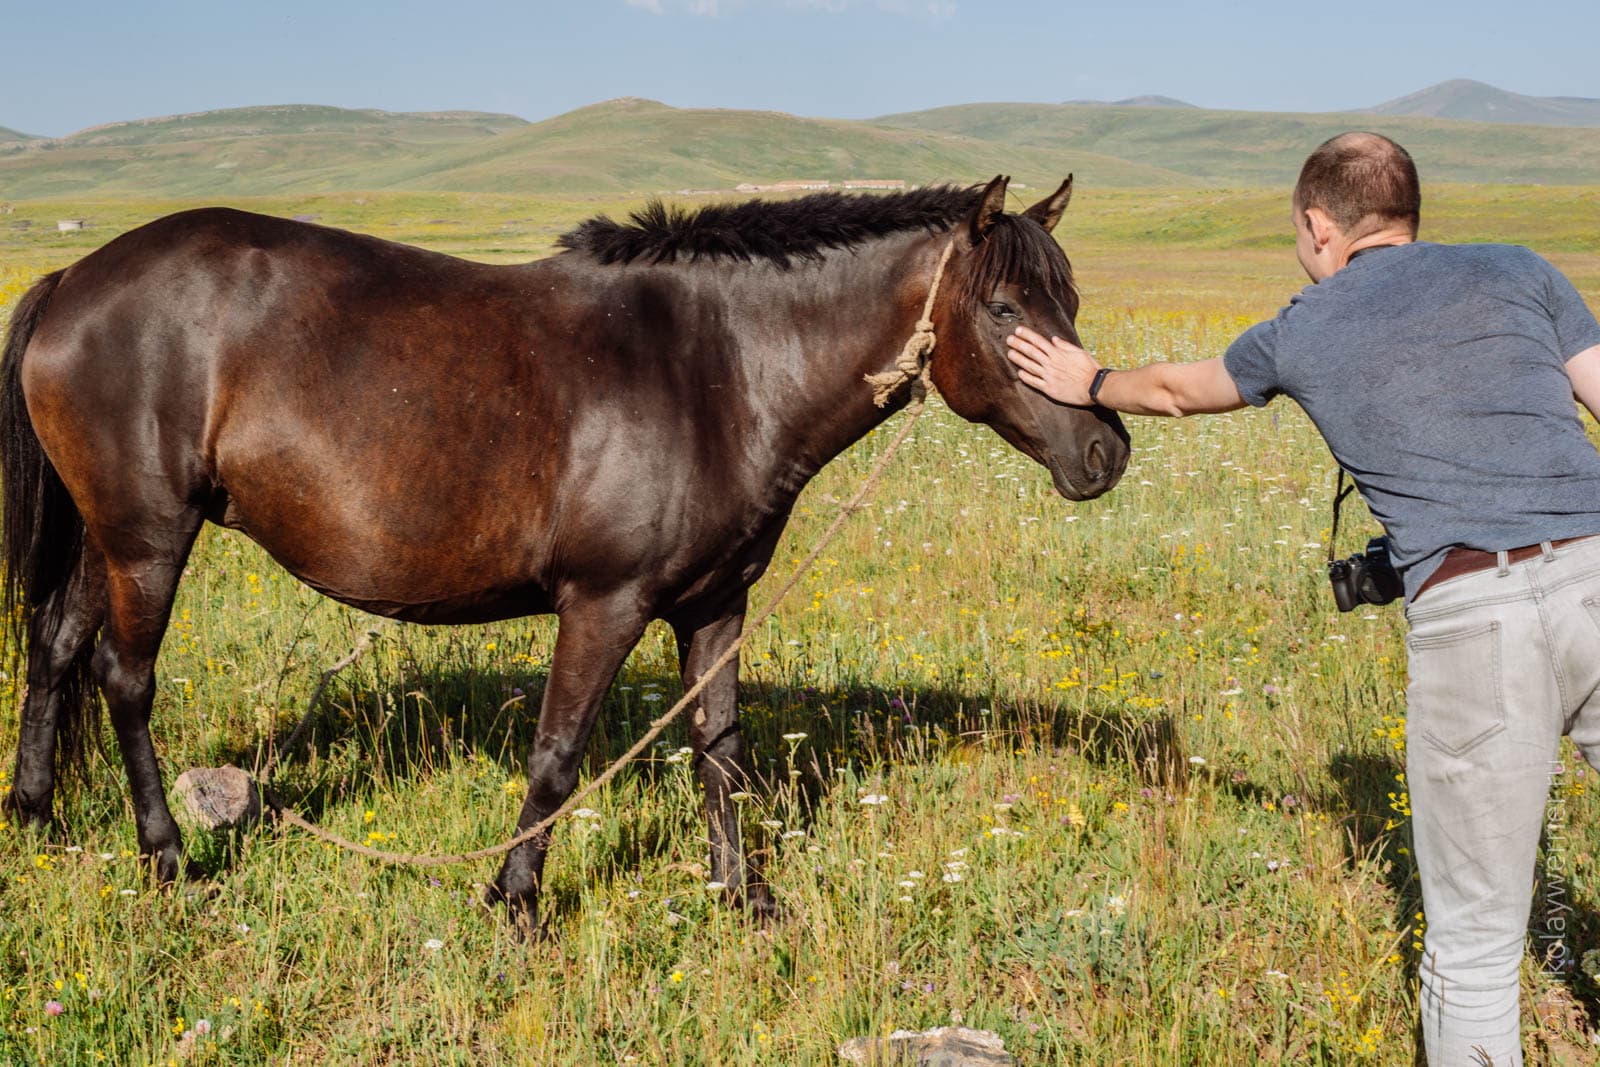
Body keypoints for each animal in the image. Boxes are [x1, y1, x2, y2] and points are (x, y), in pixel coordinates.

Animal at [0, 175, 1132, 927]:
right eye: (1004, 307)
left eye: (1070, 300)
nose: (1105, 451)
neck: (719, 370)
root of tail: (72, 278)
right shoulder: (604, 602)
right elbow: (556, 757)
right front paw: (514, 900)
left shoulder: (715, 605)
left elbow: (721, 751)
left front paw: (745, 899)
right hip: (150, 537)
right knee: (125, 678)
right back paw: (165, 857)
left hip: (110, 538)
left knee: (56, 649)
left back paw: (37, 816)